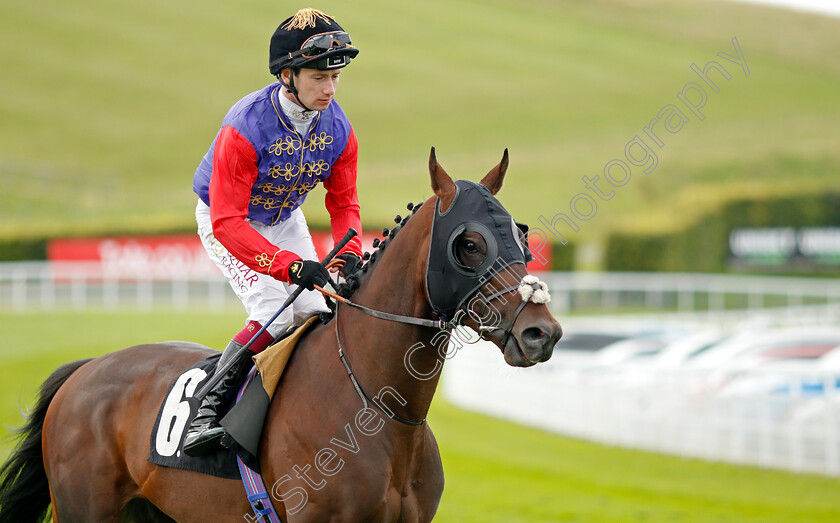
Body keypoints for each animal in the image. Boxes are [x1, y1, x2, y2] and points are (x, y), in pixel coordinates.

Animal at [3, 148, 564, 523]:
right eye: (469, 244)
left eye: (520, 234)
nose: (542, 333)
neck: (375, 408)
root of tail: (84, 370)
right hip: (84, 508)